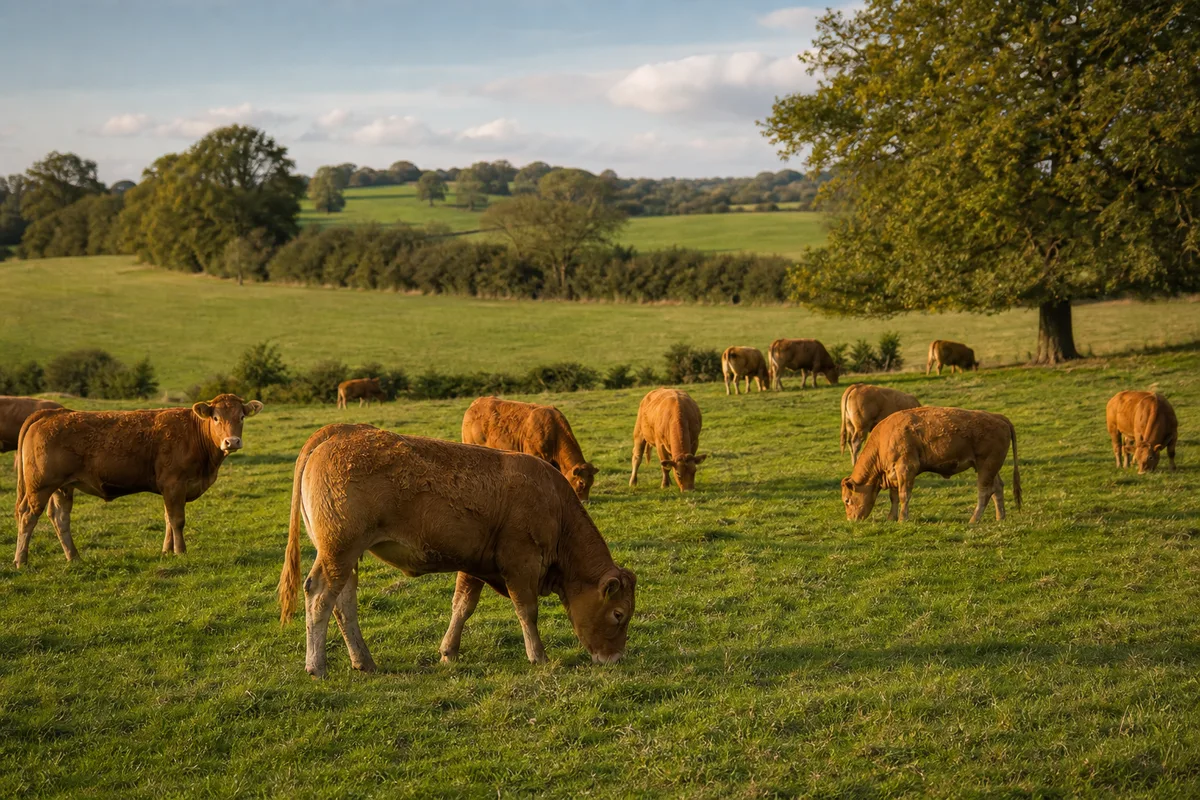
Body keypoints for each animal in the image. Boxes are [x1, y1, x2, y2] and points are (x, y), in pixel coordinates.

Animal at [12, 394, 263, 567]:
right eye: (216, 417)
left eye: (241, 417)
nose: (232, 441)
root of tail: (53, 413)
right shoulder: (174, 483)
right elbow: (177, 520)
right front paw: (180, 551)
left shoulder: (171, 489)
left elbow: (168, 519)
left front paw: (166, 551)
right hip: (40, 486)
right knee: (28, 516)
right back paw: (21, 561)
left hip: (62, 487)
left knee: (60, 518)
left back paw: (74, 557)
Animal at [277, 424, 636, 676]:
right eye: (618, 614)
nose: (615, 658)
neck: (555, 506)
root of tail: (339, 433)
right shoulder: (520, 563)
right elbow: (527, 610)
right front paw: (538, 655)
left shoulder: (475, 564)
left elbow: (462, 607)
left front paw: (448, 652)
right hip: (338, 551)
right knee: (320, 596)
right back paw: (316, 666)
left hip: (346, 555)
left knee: (344, 603)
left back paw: (364, 661)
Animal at [840, 407, 1021, 523]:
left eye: (847, 500)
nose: (851, 520)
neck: (884, 438)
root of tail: (999, 418)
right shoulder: (893, 473)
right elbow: (894, 497)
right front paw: (891, 518)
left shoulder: (906, 469)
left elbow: (904, 495)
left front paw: (902, 519)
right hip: (988, 467)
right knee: (997, 488)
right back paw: (1000, 518)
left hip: (986, 466)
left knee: (985, 491)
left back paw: (973, 520)